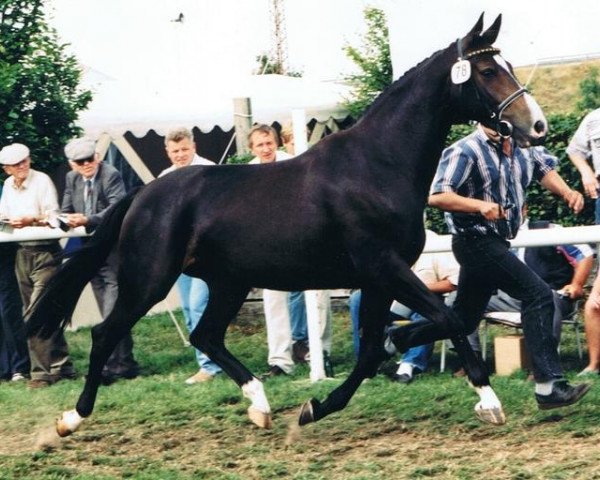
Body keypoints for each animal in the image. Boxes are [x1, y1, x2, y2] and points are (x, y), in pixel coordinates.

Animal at [25, 13, 548, 436]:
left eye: (506, 65)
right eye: (487, 71)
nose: (537, 127)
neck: (376, 165)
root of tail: (143, 194)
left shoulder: (378, 279)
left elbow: (374, 348)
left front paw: (316, 407)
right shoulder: (384, 268)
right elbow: (445, 319)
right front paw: (489, 402)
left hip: (229, 282)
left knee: (206, 336)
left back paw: (260, 406)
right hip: (149, 280)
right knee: (106, 335)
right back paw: (69, 420)